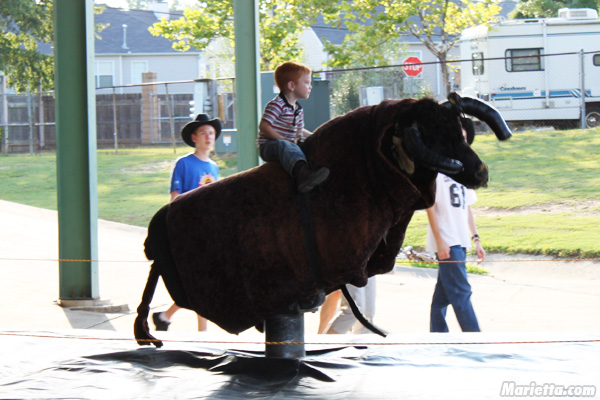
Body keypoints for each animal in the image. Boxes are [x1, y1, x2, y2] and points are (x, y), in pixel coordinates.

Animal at [136, 92, 510, 346]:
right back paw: (150, 327)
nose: (481, 172)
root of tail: (157, 226)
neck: (370, 171)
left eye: (459, 131)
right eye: (434, 135)